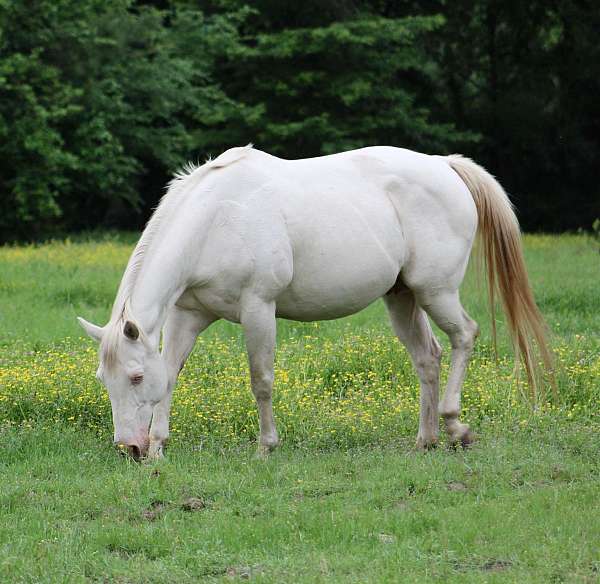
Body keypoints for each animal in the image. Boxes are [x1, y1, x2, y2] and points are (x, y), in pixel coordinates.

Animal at [77, 144, 552, 458]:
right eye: (105, 379)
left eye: (135, 377)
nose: (130, 448)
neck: (216, 218)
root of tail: (445, 166)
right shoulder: (187, 315)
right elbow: (172, 375)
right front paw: (159, 447)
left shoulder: (258, 309)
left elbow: (261, 380)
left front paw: (266, 446)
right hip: (402, 298)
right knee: (428, 357)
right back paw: (427, 439)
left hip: (436, 292)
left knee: (464, 336)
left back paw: (456, 426)